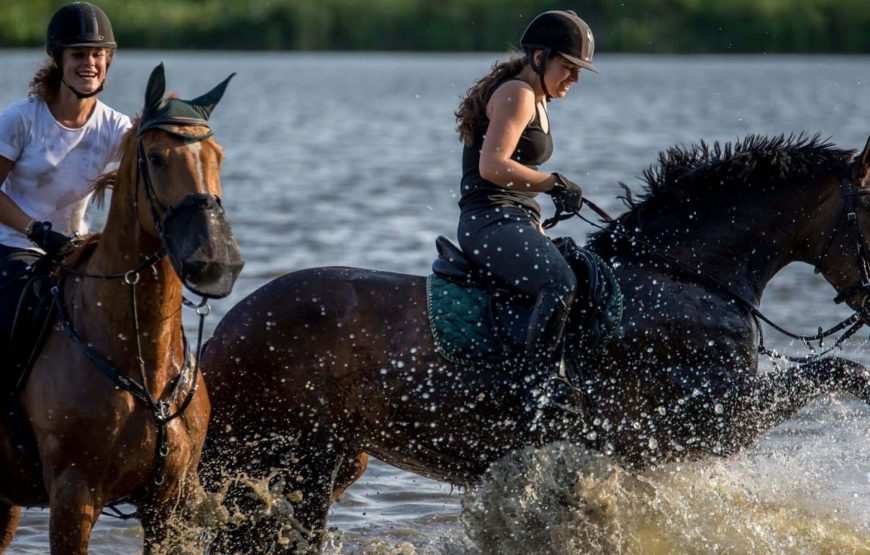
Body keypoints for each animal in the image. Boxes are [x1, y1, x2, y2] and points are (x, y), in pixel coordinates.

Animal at [201, 134, 870, 552]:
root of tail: (226, 330)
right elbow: (838, 373)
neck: (683, 277)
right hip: (296, 458)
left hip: (330, 457)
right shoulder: (712, 420)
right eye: (869, 211)